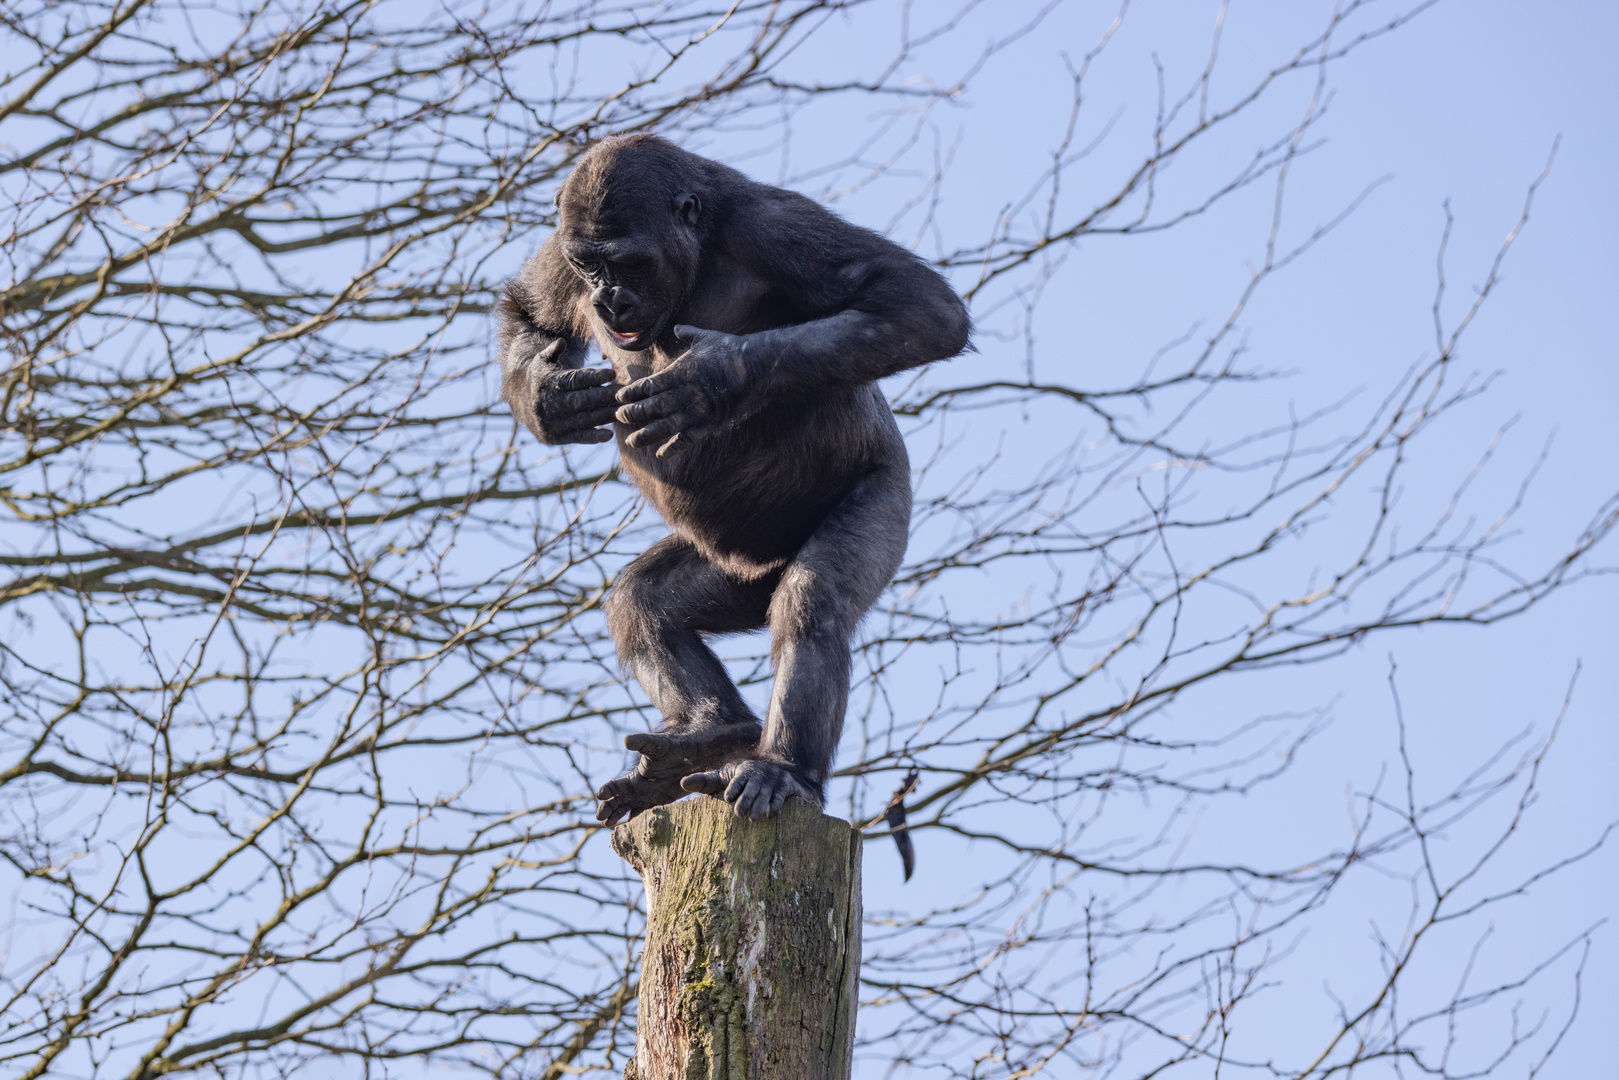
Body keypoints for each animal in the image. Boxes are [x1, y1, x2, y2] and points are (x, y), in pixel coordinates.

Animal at [498, 137, 964, 829]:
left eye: (631, 264)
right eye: (591, 267)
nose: (610, 301)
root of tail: (761, 562)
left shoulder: (775, 226)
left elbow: (917, 304)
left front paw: (714, 376)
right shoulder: (563, 247)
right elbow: (532, 314)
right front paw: (546, 396)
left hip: (882, 499)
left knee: (812, 599)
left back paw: (781, 769)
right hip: (730, 576)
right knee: (644, 601)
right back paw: (706, 731)